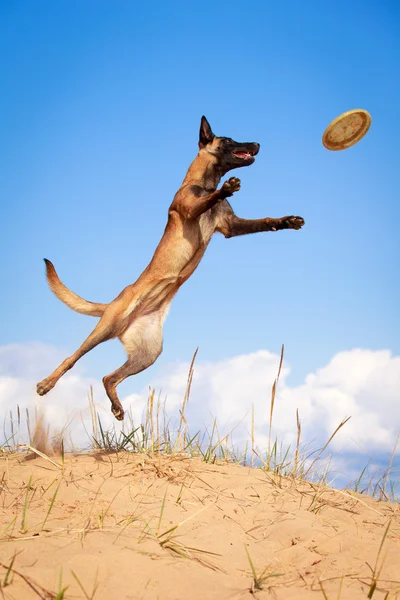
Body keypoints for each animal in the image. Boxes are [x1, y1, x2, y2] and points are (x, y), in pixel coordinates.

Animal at [38, 115, 306, 420]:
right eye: (228, 140)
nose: (258, 143)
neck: (203, 183)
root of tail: (114, 304)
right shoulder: (190, 210)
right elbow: (206, 200)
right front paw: (225, 188)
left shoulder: (231, 226)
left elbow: (265, 221)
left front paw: (287, 221)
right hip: (105, 328)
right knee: (72, 358)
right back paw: (46, 383)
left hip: (148, 355)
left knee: (109, 378)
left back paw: (116, 406)